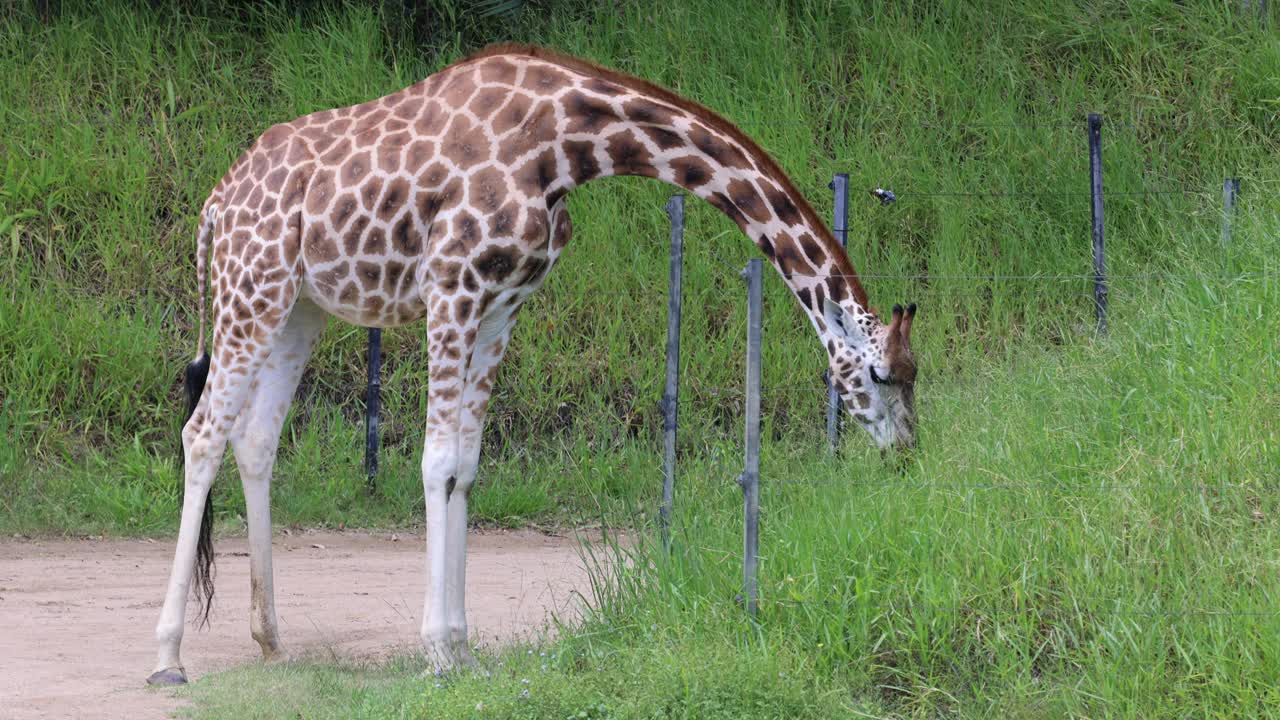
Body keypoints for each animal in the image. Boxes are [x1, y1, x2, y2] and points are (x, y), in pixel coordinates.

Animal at [147, 41, 921, 681]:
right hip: (250, 290)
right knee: (202, 434)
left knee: (255, 440)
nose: (908, 456)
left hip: (297, 307)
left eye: (916, 376)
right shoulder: (452, 286)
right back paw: (168, 656)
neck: (563, 143)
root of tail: (215, 204)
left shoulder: (503, 304)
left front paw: (461, 650)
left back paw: (272, 641)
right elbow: (434, 461)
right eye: (880, 375)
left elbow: (465, 465)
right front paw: (435, 653)